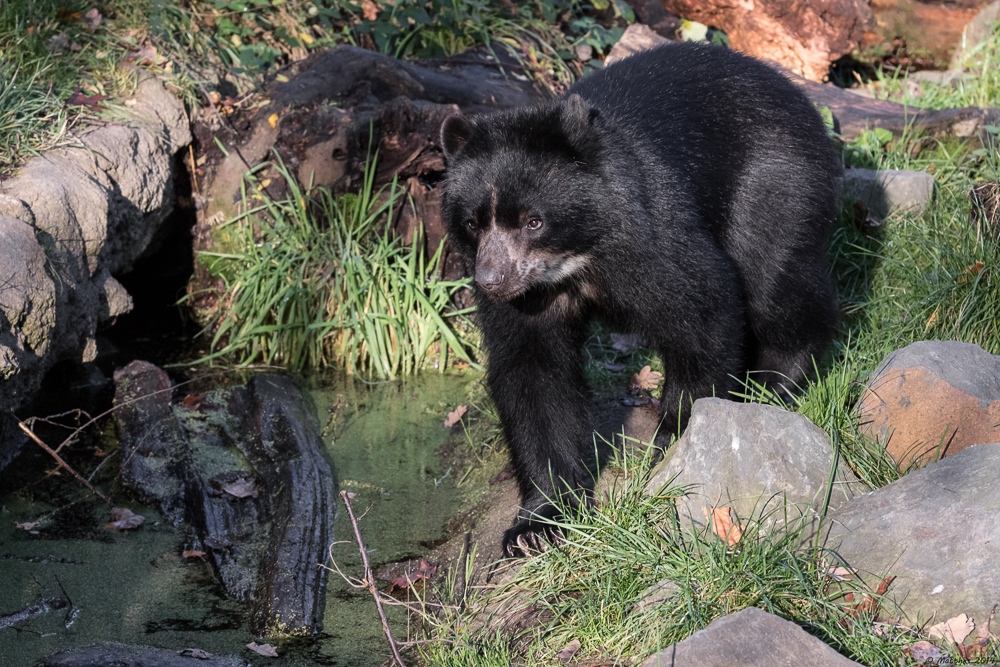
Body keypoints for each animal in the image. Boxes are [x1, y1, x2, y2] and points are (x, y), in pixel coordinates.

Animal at [442, 39, 840, 556]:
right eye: (473, 223)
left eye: (533, 221)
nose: (492, 281)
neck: (575, 257)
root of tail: (796, 93)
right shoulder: (532, 297)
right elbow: (532, 372)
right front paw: (536, 525)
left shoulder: (648, 234)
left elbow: (702, 310)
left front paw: (672, 448)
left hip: (775, 182)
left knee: (774, 281)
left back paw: (773, 384)